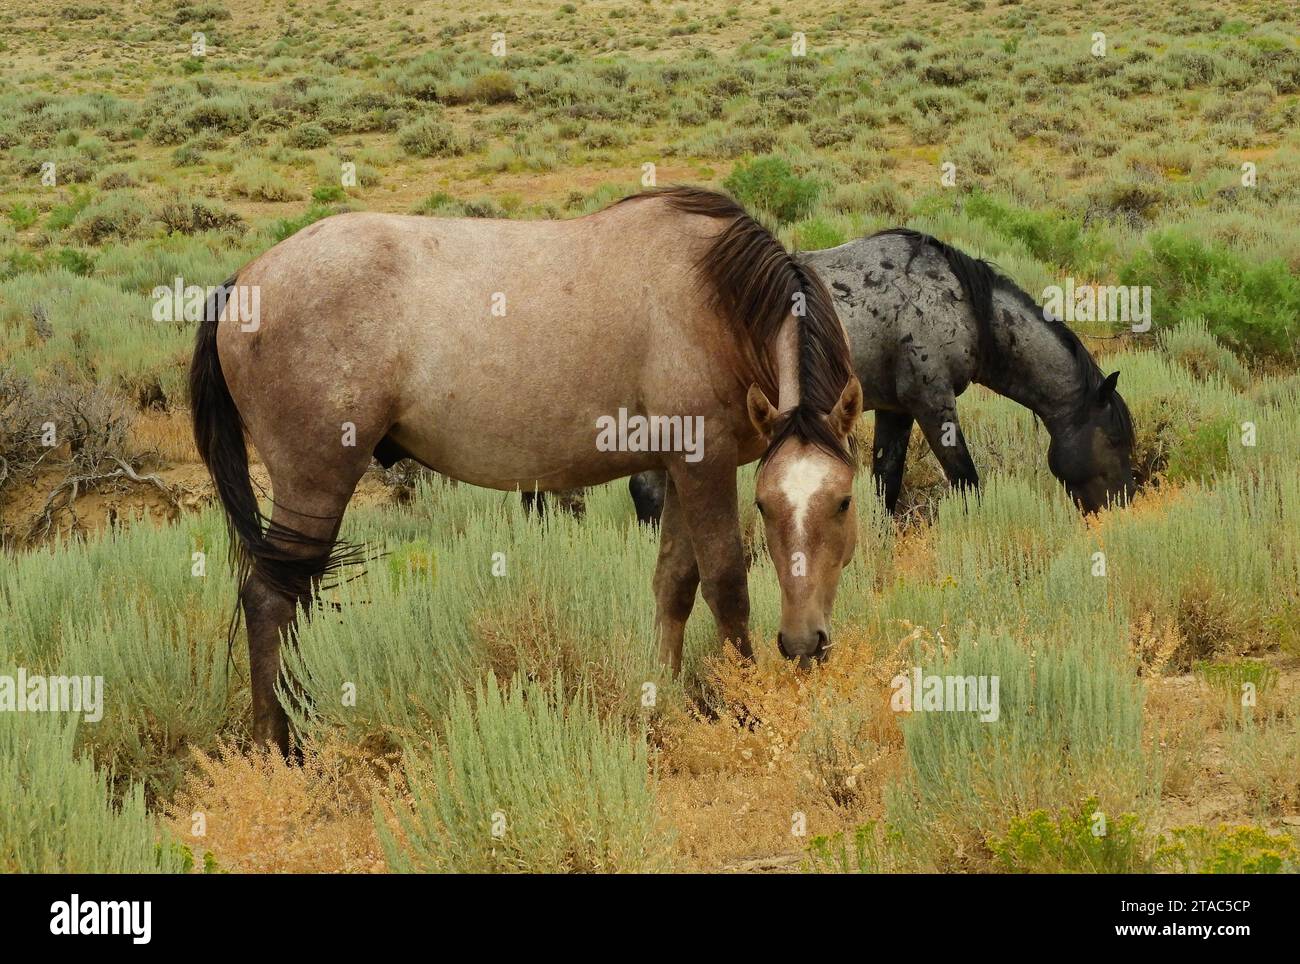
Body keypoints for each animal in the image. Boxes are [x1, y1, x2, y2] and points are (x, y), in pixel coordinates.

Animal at [190, 186, 863, 753]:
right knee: (270, 600)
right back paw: (277, 746)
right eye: (764, 505)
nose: (803, 644)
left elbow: (674, 583)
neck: (716, 298)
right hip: (314, 483)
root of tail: (244, 280)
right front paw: (746, 708)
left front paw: (661, 698)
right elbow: (726, 584)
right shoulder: (706, 466)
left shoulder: (679, 470)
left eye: (842, 501)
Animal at [624, 228, 1136, 523]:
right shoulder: (933, 404)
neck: (961, 303)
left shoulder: (897, 410)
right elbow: (966, 479)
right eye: (1115, 439)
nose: (1127, 501)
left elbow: (887, 481)